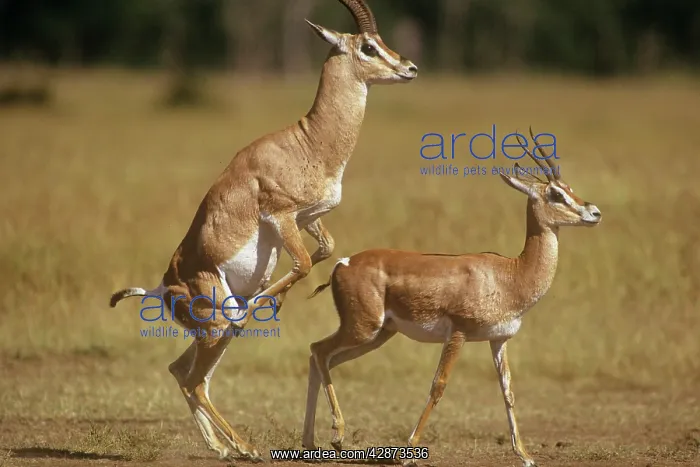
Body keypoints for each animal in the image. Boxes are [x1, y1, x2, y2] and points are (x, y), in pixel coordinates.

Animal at [109, 0, 417, 461]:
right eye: (368, 46)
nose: (409, 68)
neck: (309, 143)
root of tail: (163, 287)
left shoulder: (308, 217)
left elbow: (325, 250)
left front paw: (282, 298)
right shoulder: (281, 216)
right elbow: (305, 262)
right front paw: (265, 302)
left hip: (213, 338)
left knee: (182, 372)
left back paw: (221, 448)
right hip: (216, 328)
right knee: (197, 379)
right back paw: (245, 447)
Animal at [302, 129, 602, 467]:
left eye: (570, 188)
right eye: (555, 194)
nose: (595, 213)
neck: (511, 275)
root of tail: (343, 263)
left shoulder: (499, 340)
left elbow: (508, 391)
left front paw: (525, 456)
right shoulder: (458, 333)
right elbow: (438, 386)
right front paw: (409, 452)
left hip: (377, 335)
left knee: (322, 358)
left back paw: (312, 442)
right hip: (363, 329)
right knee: (318, 350)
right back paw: (336, 435)